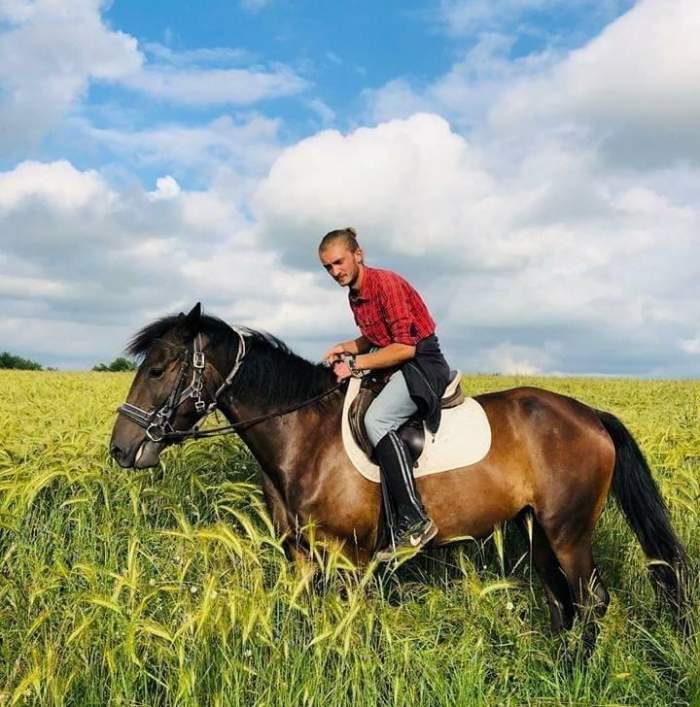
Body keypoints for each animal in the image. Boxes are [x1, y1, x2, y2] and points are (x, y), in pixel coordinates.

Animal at [110, 304, 688, 652]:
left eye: (158, 369)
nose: (121, 449)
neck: (303, 433)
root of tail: (590, 416)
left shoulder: (349, 557)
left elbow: (349, 624)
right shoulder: (301, 555)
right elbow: (308, 617)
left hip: (569, 529)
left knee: (590, 601)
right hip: (538, 529)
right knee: (561, 600)